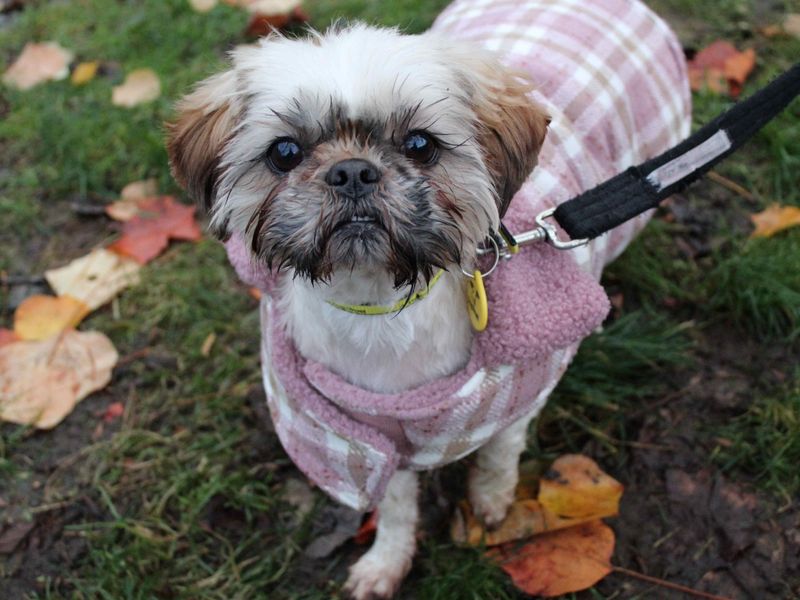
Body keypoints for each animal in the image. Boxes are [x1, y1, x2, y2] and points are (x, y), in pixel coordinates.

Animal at [166, 0, 692, 596]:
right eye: (284, 152)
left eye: (420, 144)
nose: (352, 171)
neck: (379, 305)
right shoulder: (367, 437)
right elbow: (395, 508)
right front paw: (386, 563)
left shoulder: (517, 394)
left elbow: (499, 453)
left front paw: (491, 505)